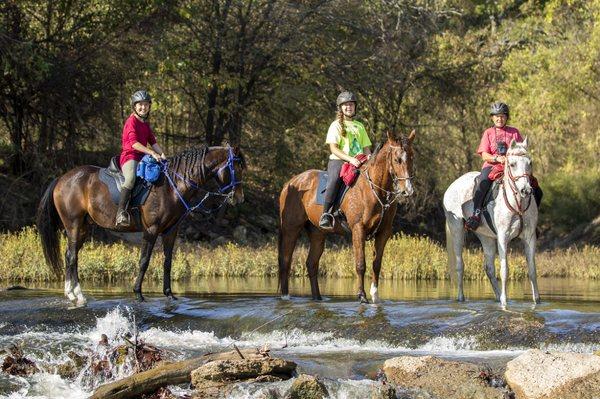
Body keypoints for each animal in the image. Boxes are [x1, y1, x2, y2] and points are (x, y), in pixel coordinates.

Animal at [35, 147, 245, 306]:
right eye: (236, 168)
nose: (239, 198)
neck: (173, 186)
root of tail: (62, 179)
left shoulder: (171, 231)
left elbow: (168, 262)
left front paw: (169, 294)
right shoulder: (151, 230)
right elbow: (144, 260)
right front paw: (138, 293)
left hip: (84, 227)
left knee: (70, 255)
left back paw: (70, 293)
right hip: (74, 225)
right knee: (72, 256)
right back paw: (77, 295)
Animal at [278, 131, 414, 304]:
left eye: (411, 157)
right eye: (397, 159)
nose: (407, 190)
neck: (375, 190)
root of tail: (290, 183)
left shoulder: (384, 233)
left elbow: (376, 264)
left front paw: (375, 296)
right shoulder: (358, 229)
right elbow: (360, 264)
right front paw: (362, 296)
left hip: (317, 233)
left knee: (311, 264)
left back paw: (318, 298)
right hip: (291, 229)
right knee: (286, 261)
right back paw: (285, 296)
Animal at [440, 138, 540, 310]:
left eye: (530, 162)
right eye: (512, 164)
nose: (526, 190)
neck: (518, 204)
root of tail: (452, 185)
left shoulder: (529, 237)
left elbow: (532, 270)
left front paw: (537, 302)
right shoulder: (502, 237)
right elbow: (505, 270)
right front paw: (505, 304)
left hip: (485, 237)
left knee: (489, 269)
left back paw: (497, 297)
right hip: (456, 229)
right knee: (460, 266)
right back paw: (462, 298)